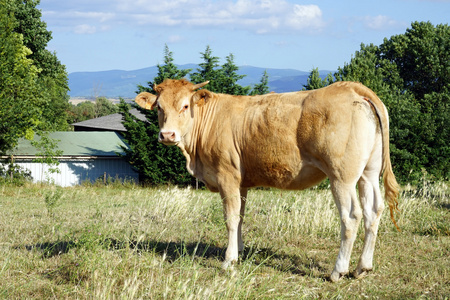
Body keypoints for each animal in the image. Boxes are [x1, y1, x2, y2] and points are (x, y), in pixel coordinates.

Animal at [135, 79, 400, 282]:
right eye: (159, 107)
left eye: (185, 105)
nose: (167, 135)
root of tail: (351, 87)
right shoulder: (241, 182)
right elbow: (240, 217)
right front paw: (239, 251)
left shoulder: (227, 176)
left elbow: (230, 218)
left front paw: (228, 260)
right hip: (368, 172)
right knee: (373, 211)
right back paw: (362, 267)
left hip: (341, 175)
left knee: (352, 216)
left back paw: (339, 271)